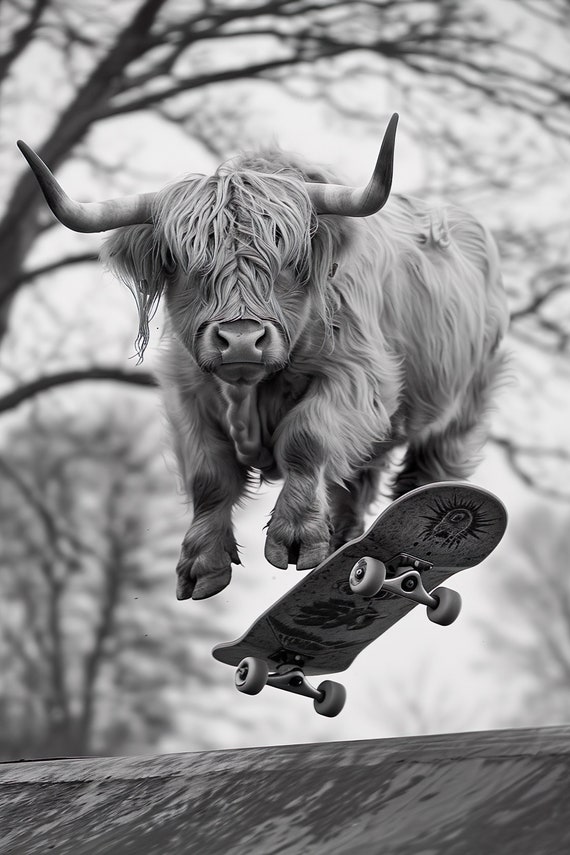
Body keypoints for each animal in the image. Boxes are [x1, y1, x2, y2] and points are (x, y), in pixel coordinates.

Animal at [18, 114, 509, 601]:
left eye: (287, 259)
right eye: (182, 260)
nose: (240, 339)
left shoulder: (358, 378)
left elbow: (307, 437)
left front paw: (296, 537)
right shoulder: (187, 394)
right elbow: (209, 475)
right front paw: (202, 565)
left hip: (463, 408)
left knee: (427, 471)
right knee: (356, 483)